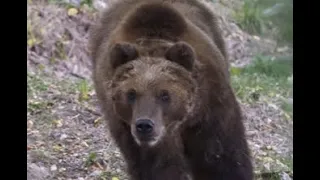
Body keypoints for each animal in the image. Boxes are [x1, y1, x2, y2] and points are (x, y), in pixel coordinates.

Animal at [89, 0, 252, 180]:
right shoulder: (135, 134)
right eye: (131, 94)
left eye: (164, 95)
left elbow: (220, 156)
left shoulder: (210, 106)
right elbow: (157, 166)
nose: (144, 125)